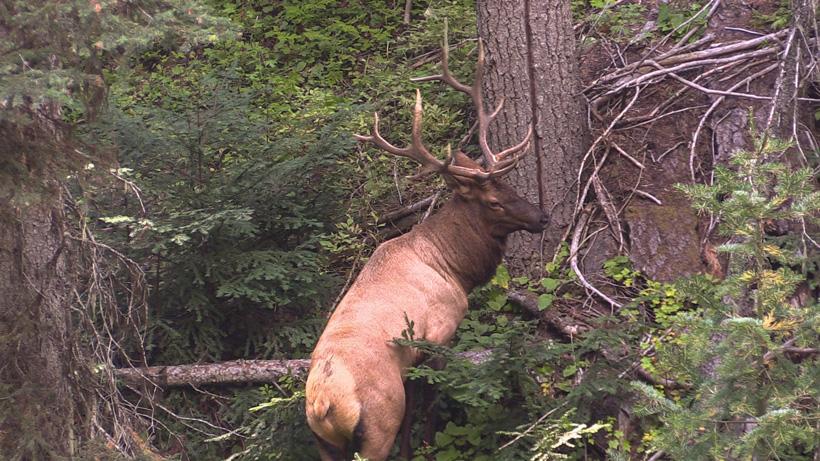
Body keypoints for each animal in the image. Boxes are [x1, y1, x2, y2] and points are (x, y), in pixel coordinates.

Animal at [305, 36, 547, 461]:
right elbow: (429, 403)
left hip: (324, 444)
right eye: (494, 202)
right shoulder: (439, 334)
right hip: (376, 427)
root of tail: (324, 403)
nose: (543, 217)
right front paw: (428, 446)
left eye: (510, 187)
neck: (454, 268)